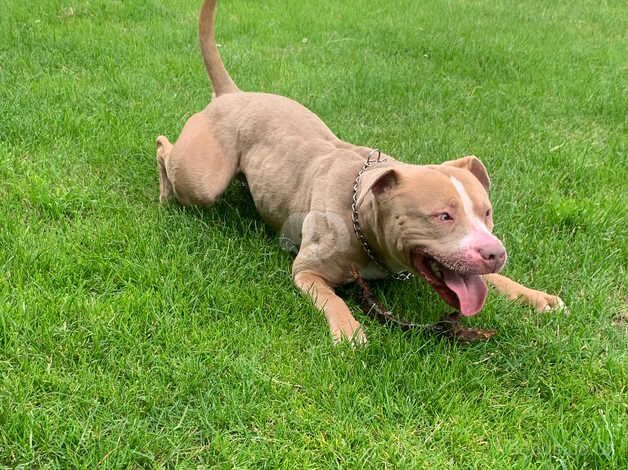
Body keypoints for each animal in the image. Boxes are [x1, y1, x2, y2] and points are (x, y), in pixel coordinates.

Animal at [156, 0, 564, 346]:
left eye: (487, 213)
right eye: (443, 216)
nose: (495, 252)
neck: (363, 216)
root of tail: (232, 94)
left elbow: (494, 279)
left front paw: (533, 295)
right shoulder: (307, 271)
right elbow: (332, 299)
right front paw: (349, 330)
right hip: (202, 179)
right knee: (165, 149)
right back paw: (163, 190)